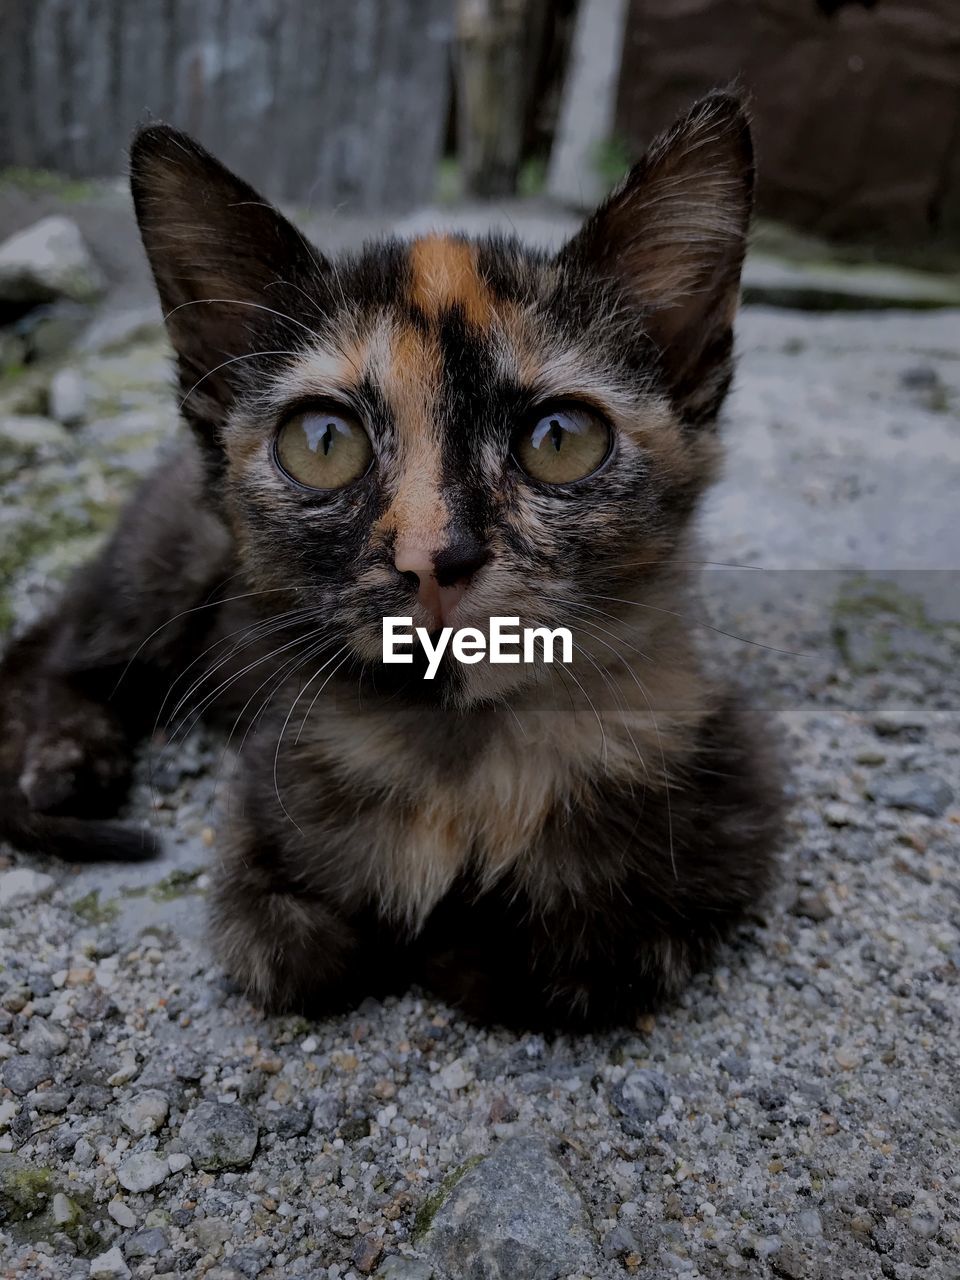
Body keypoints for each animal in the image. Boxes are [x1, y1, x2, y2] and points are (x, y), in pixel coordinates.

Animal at [0, 90, 783, 1029]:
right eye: (323, 443)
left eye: (561, 439)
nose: (436, 557)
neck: (463, 746)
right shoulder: (267, 812)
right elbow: (295, 949)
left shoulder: (728, 804)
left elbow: (570, 955)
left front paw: (462, 933)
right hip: (169, 562)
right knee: (62, 649)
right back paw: (69, 760)